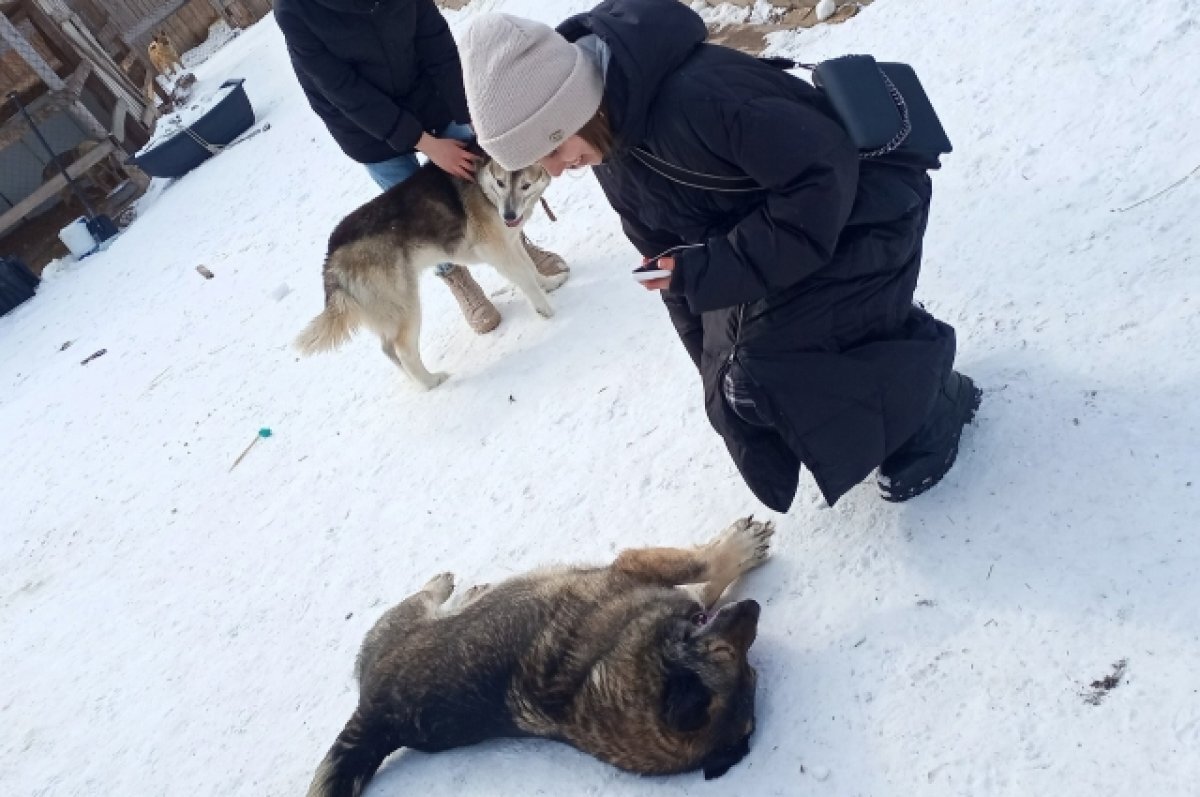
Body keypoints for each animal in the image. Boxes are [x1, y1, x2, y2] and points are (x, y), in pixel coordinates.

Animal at [304, 516, 772, 797]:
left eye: (749, 670)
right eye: (729, 652)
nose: (754, 608)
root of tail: (377, 716)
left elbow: (704, 580)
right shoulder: (633, 567)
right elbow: (699, 564)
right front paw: (739, 548)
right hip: (400, 621)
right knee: (422, 597)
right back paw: (444, 586)